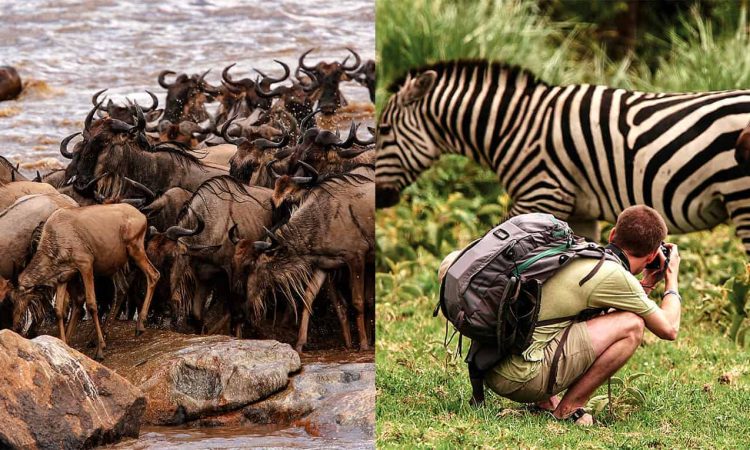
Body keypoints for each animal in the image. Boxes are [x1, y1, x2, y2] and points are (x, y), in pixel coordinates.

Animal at [378, 59, 750, 250]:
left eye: (383, 132)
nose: (379, 200)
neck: (514, 124)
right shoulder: (580, 211)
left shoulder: (540, 193)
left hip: (741, 199)